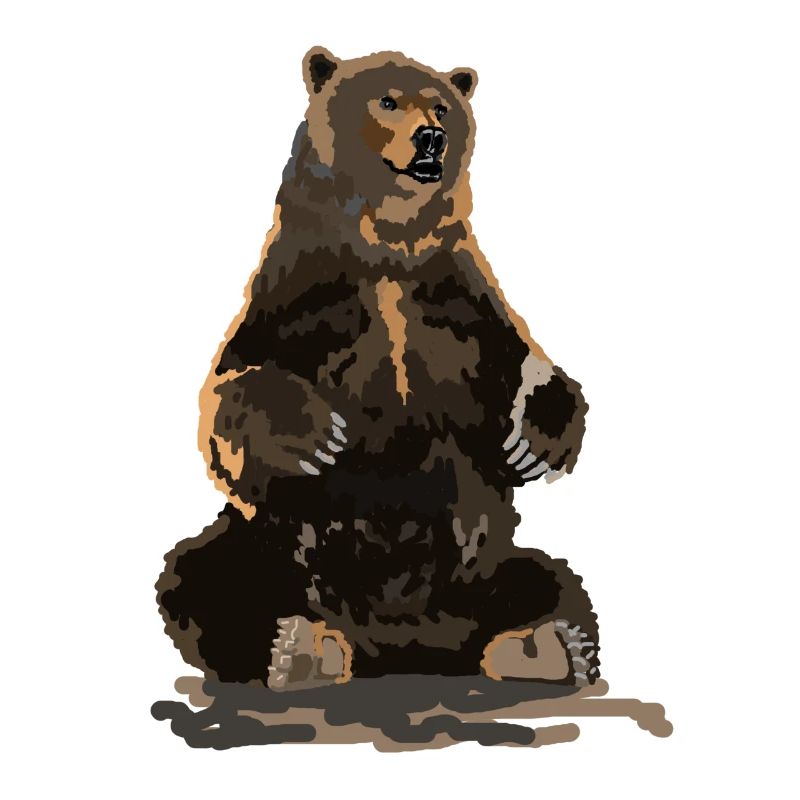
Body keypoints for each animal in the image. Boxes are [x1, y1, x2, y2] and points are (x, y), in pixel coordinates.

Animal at [156, 47, 598, 690]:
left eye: (443, 105)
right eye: (387, 100)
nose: (432, 137)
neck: (387, 244)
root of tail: (400, 646)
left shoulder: (456, 292)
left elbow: (521, 361)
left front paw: (531, 440)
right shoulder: (302, 290)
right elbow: (230, 389)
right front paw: (316, 433)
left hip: (483, 565)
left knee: (551, 579)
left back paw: (547, 646)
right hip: (270, 550)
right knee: (199, 576)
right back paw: (297, 648)